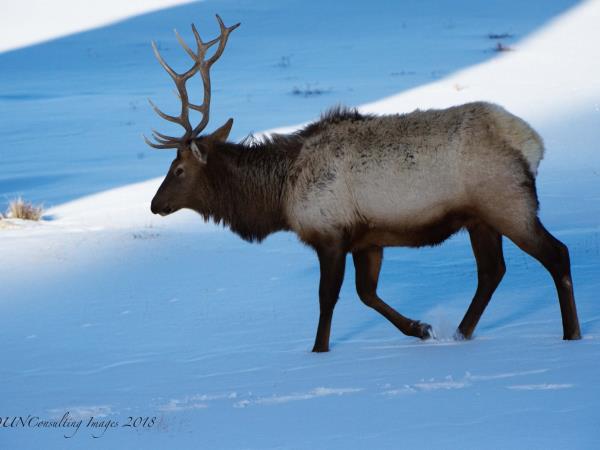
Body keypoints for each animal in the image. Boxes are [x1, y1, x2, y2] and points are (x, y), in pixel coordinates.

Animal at [146, 16, 580, 352]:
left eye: (178, 169)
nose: (154, 204)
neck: (280, 197)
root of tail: (531, 142)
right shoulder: (367, 239)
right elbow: (366, 294)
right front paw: (421, 328)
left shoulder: (329, 232)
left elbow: (328, 299)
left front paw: (318, 351)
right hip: (480, 218)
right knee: (492, 272)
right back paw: (459, 334)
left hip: (507, 201)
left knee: (556, 254)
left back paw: (571, 335)